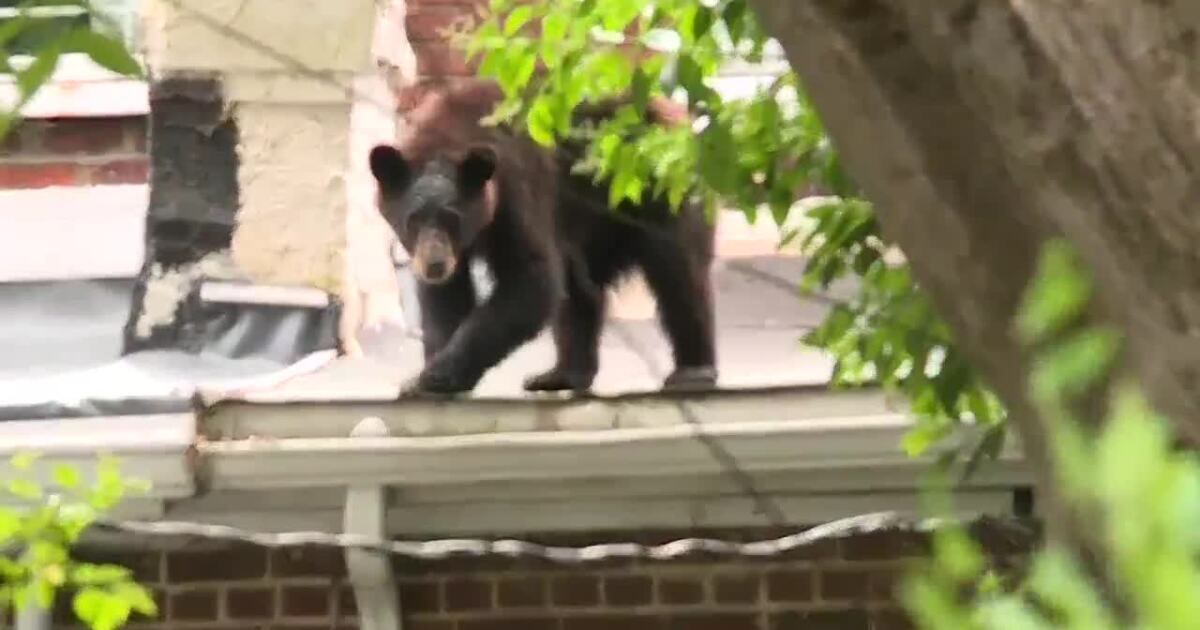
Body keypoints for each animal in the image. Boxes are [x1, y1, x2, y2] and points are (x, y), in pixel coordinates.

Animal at [368, 78, 717, 397]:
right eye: (413, 219)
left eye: (452, 217)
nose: (435, 265)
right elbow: (447, 298)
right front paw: (427, 374)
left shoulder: (519, 190)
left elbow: (531, 280)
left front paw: (436, 375)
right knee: (580, 288)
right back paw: (561, 375)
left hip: (658, 191)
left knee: (679, 275)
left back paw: (694, 372)